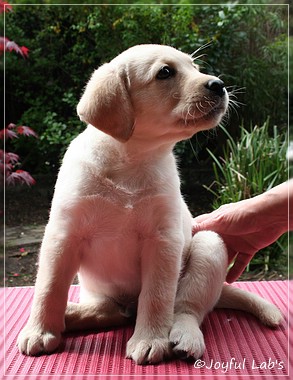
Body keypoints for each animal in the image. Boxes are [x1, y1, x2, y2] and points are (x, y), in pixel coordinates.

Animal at [17, 44, 280, 366]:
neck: (132, 160)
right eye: (165, 72)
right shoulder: (63, 235)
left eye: (195, 67)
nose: (218, 85)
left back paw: (186, 337)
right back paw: (72, 314)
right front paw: (40, 331)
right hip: (95, 289)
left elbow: (156, 296)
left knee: (185, 308)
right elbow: (49, 288)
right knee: (111, 311)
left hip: (208, 245)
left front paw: (150, 339)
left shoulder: (163, 240)